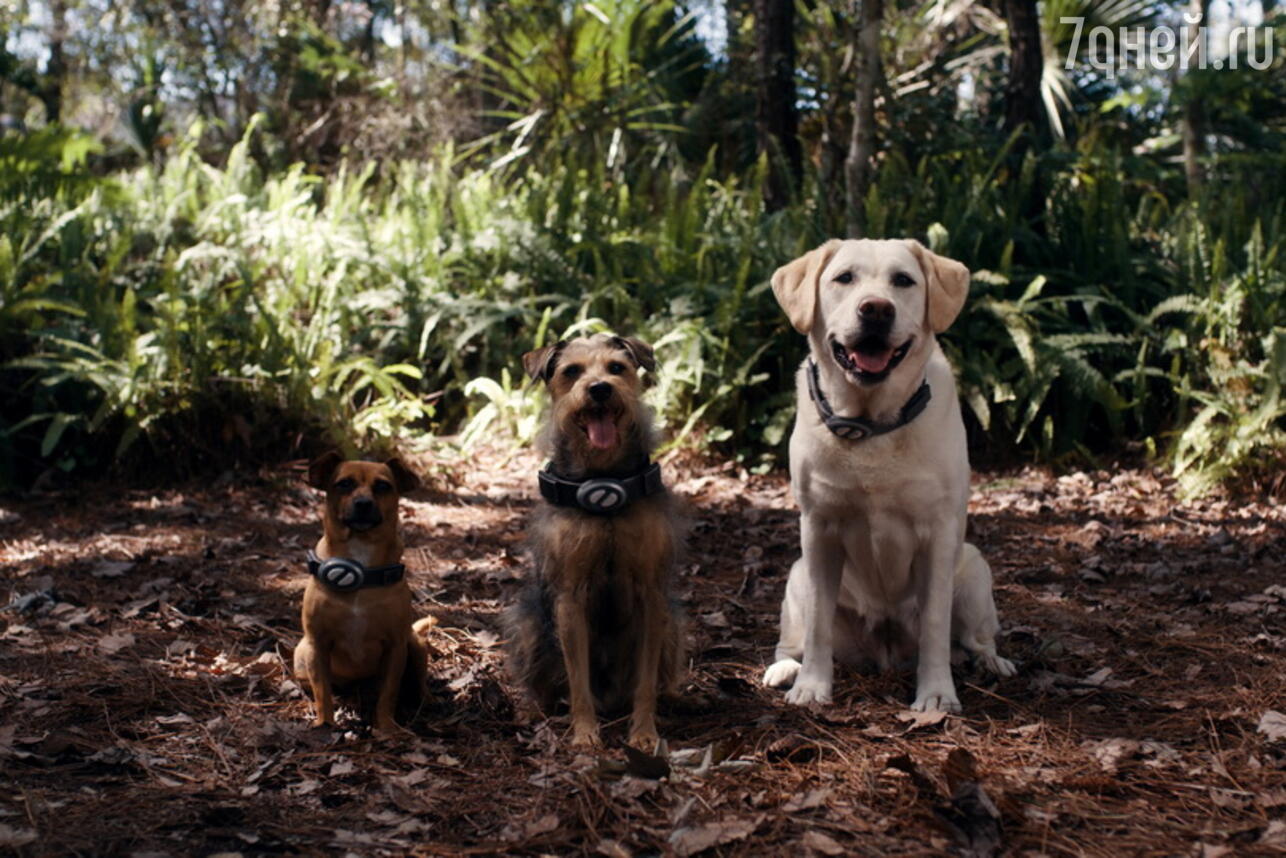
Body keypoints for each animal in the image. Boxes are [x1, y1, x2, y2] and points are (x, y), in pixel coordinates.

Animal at [294, 452, 429, 735]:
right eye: (344, 483)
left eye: (383, 486)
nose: (363, 503)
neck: (360, 565)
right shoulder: (317, 645)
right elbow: (322, 691)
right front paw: (325, 724)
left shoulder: (395, 647)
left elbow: (388, 693)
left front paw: (386, 727)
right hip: (301, 655)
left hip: (415, 646)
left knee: (418, 684)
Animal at [504, 334, 689, 751]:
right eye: (571, 371)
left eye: (616, 368)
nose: (600, 389)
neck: (604, 483)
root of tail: (612, 698)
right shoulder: (570, 598)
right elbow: (578, 682)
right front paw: (585, 733)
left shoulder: (651, 595)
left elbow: (646, 683)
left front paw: (643, 733)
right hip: (529, 623)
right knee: (547, 687)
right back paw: (533, 711)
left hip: (672, 625)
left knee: (660, 679)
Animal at [756, 236, 1008, 710]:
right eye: (844, 278)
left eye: (903, 280)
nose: (875, 309)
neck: (871, 424)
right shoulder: (818, 529)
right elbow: (818, 624)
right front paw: (812, 686)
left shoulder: (939, 534)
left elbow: (935, 625)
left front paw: (936, 694)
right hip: (796, 575)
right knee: (792, 640)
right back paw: (785, 669)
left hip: (974, 570)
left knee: (974, 638)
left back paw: (989, 662)